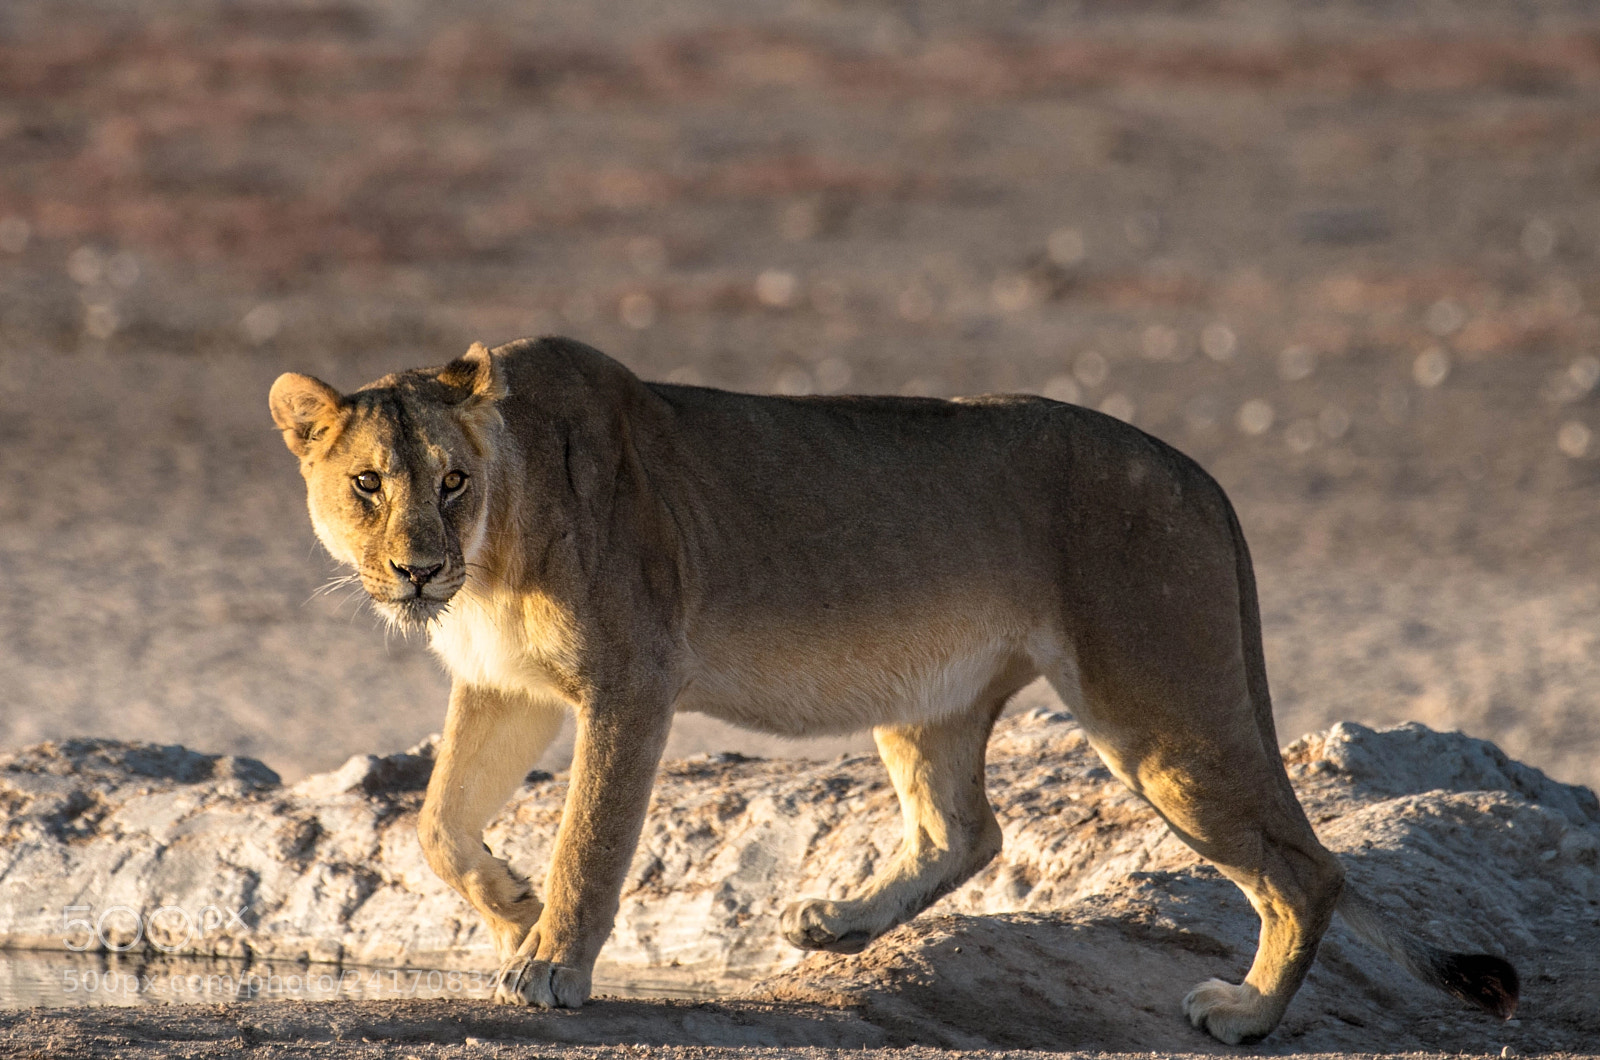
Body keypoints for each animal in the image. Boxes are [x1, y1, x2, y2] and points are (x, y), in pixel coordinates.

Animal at [270, 336, 1517, 1044]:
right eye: (369, 484)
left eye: (449, 480)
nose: (417, 568)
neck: (493, 548)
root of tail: (1200, 475)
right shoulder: (504, 685)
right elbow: (437, 824)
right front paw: (513, 908)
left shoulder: (632, 679)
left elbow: (592, 836)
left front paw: (547, 962)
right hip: (931, 699)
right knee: (967, 830)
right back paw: (838, 923)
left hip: (1162, 711)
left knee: (1307, 870)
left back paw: (1248, 1013)